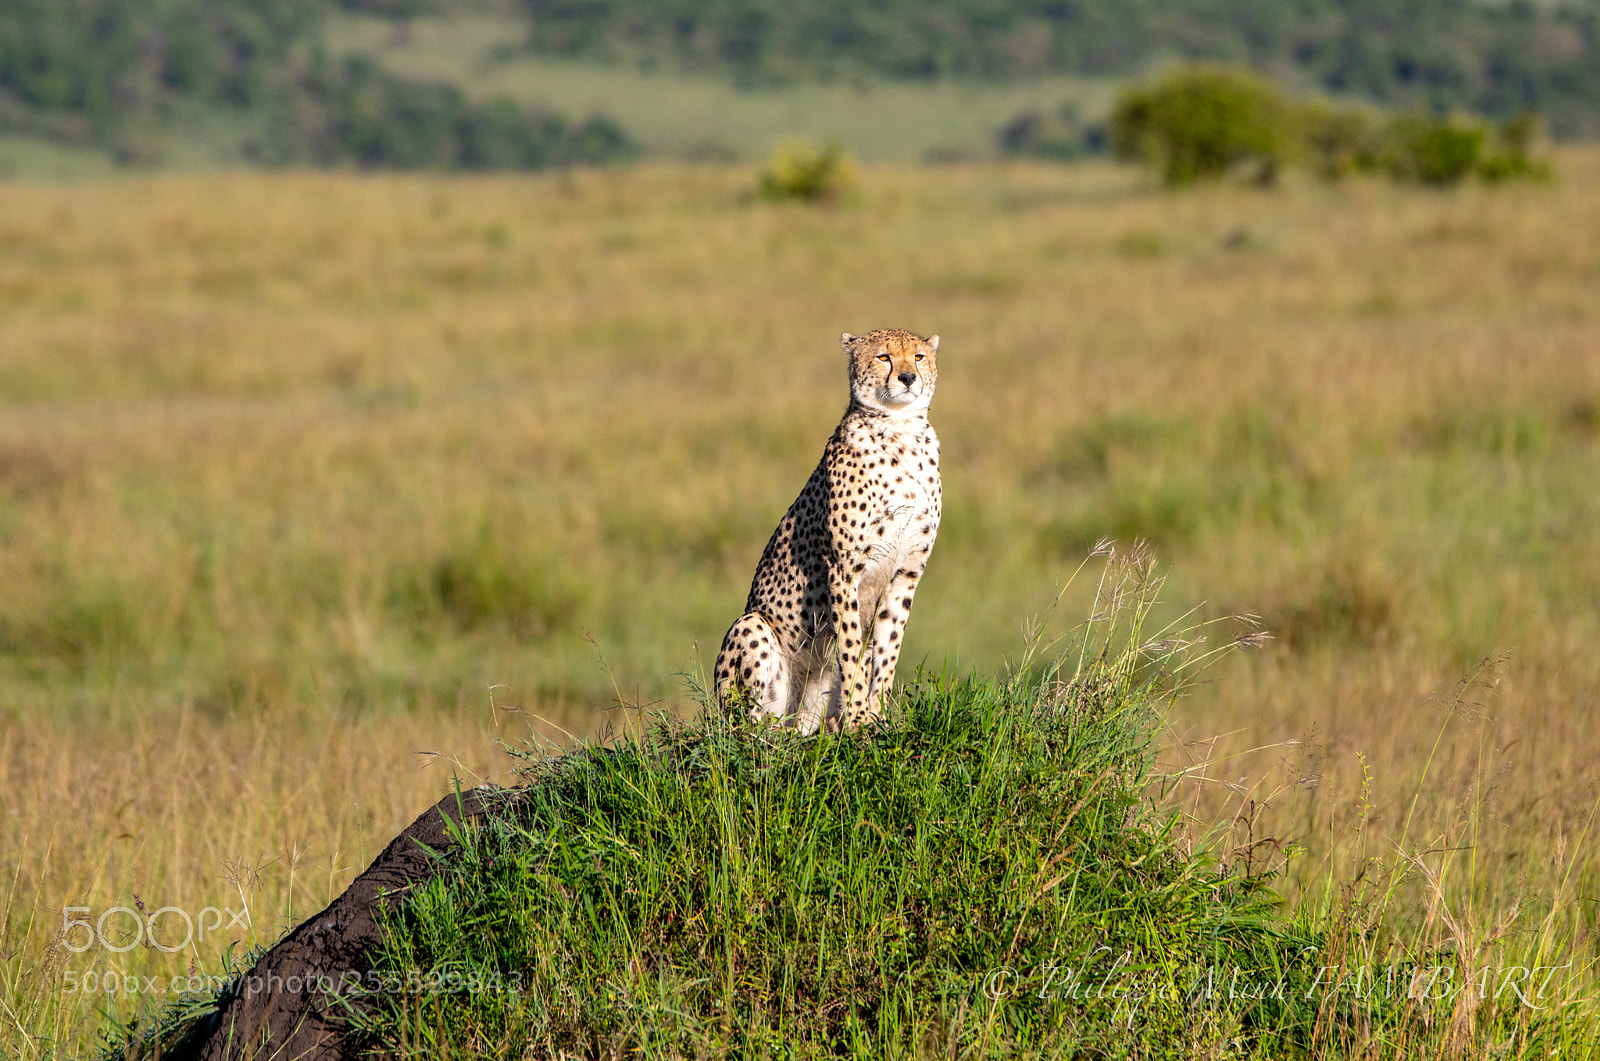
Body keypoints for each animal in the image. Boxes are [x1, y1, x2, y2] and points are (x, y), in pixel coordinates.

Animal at [714, 328, 942, 735]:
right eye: (883, 357)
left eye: (918, 357)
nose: (907, 378)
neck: (902, 430)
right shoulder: (844, 567)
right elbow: (852, 649)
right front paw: (858, 719)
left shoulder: (907, 572)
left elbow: (887, 647)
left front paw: (879, 716)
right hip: (752, 627)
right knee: (750, 731)